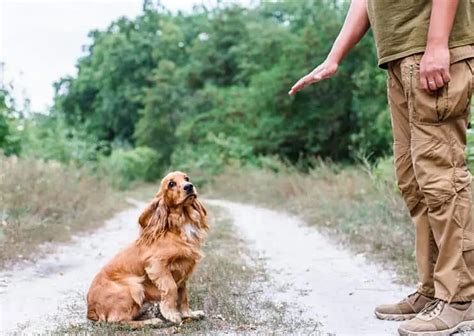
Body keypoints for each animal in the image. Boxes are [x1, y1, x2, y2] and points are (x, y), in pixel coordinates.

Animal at [86, 172, 208, 326]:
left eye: (187, 178)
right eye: (171, 184)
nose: (189, 187)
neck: (180, 225)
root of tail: (91, 310)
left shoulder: (183, 270)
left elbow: (183, 295)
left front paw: (188, 314)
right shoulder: (157, 265)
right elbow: (171, 288)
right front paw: (171, 314)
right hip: (133, 285)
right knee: (119, 321)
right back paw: (151, 321)